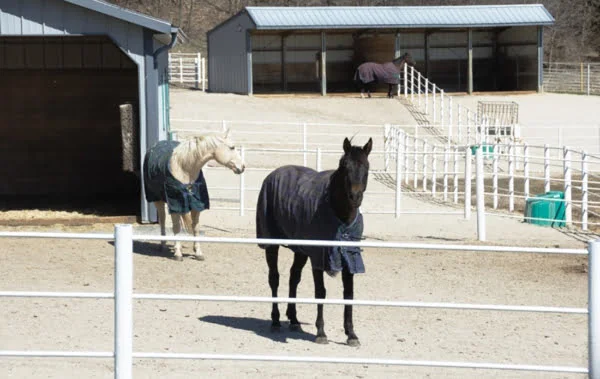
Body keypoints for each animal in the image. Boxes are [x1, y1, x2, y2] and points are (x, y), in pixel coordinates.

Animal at [144, 127, 245, 262]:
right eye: (232, 147)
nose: (243, 166)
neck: (185, 169)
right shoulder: (175, 204)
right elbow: (177, 227)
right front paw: (178, 253)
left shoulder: (196, 205)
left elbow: (195, 227)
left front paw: (198, 252)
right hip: (158, 201)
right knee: (164, 220)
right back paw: (163, 244)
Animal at [255, 137, 372, 348]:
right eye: (345, 166)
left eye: (366, 166)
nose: (355, 197)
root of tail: (272, 175)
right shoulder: (319, 256)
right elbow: (320, 292)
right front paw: (321, 333)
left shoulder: (350, 257)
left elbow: (348, 294)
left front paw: (351, 334)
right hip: (271, 245)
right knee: (274, 278)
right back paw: (276, 321)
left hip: (300, 250)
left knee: (293, 277)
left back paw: (293, 319)